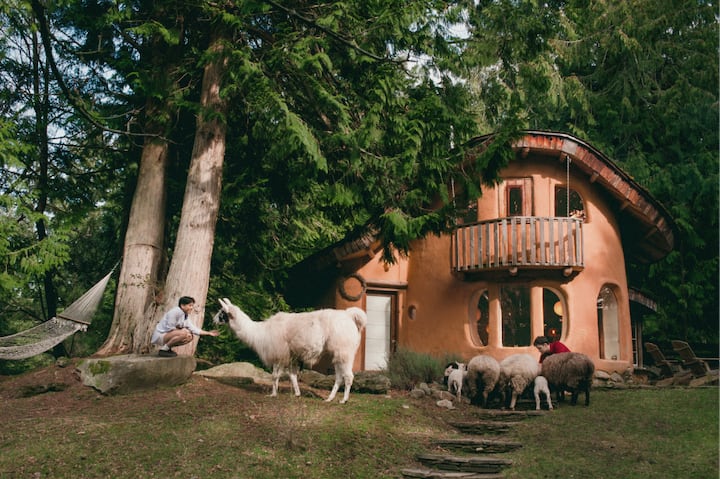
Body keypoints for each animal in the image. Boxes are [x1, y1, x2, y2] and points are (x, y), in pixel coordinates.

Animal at [215, 298, 366, 404]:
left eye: (222, 312)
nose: (213, 320)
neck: (260, 333)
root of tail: (349, 315)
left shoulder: (279, 352)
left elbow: (274, 375)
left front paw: (273, 394)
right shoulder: (291, 355)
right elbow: (292, 375)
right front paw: (297, 393)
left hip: (344, 350)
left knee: (348, 376)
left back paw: (343, 400)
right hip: (339, 352)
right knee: (339, 377)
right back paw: (329, 398)